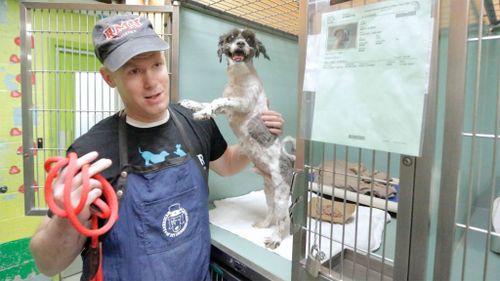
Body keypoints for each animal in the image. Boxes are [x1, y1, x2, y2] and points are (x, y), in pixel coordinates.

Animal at [180, 27, 294, 247]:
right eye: (232, 38)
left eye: (249, 39)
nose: (240, 43)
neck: (239, 78)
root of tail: (289, 160)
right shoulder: (229, 106)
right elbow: (209, 101)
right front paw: (192, 104)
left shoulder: (243, 103)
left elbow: (218, 101)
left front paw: (203, 113)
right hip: (269, 189)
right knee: (272, 212)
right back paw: (264, 224)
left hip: (282, 192)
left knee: (283, 219)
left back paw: (276, 238)